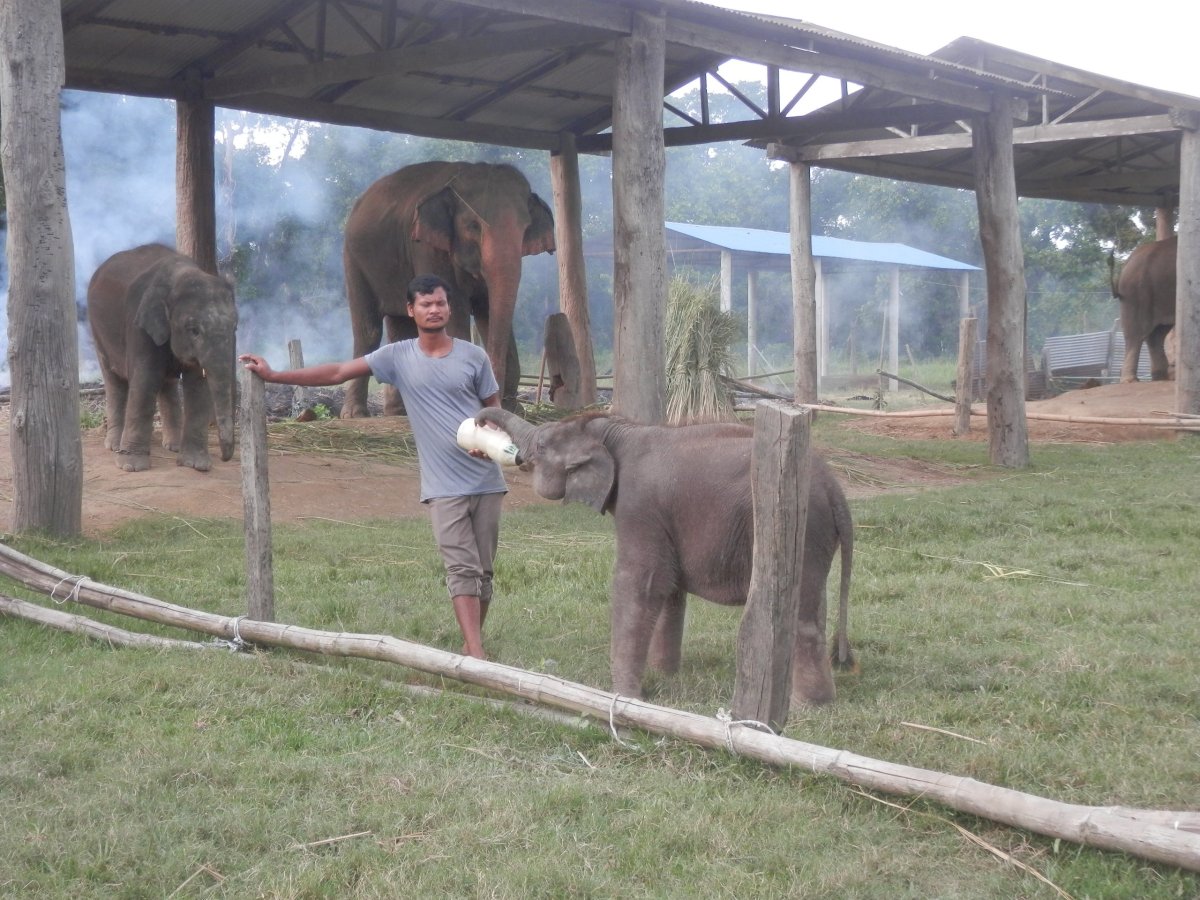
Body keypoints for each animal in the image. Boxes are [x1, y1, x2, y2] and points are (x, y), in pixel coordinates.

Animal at [86, 244, 239, 472]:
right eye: (194, 330)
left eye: (234, 327)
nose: (224, 457)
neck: (180, 274)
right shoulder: (139, 325)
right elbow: (146, 378)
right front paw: (132, 467)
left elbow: (197, 385)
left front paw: (197, 465)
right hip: (97, 332)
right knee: (114, 379)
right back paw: (114, 446)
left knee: (167, 383)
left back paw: (172, 446)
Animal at [342, 161, 556, 417]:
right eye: (473, 226)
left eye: (525, 228)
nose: (497, 402)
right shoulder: (426, 247)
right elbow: (456, 310)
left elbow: (488, 312)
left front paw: (514, 411)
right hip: (354, 259)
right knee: (368, 330)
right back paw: (355, 414)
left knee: (400, 327)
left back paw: (398, 413)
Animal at [476, 408, 854, 707]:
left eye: (541, 446)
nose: (479, 423)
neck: (615, 430)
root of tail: (835, 489)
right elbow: (671, 588)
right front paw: (664, 675)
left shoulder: (639, 505)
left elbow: (640, 583)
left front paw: (627, 698)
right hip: (816, 538)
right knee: (815, 604)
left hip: (804, 528)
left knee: (803, 615)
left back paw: (809, 706)